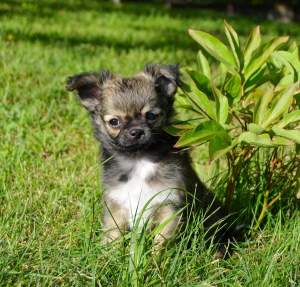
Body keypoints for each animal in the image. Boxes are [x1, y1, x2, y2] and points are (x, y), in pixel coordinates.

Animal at [67, 64, 239, 258]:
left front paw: (156, 262)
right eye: (114, 122)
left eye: (151, 116)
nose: (136, 131)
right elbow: (112, 237)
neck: (139, 159)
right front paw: (109, 258)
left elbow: (162, 243)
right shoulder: (115, 206)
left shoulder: (170, 206)